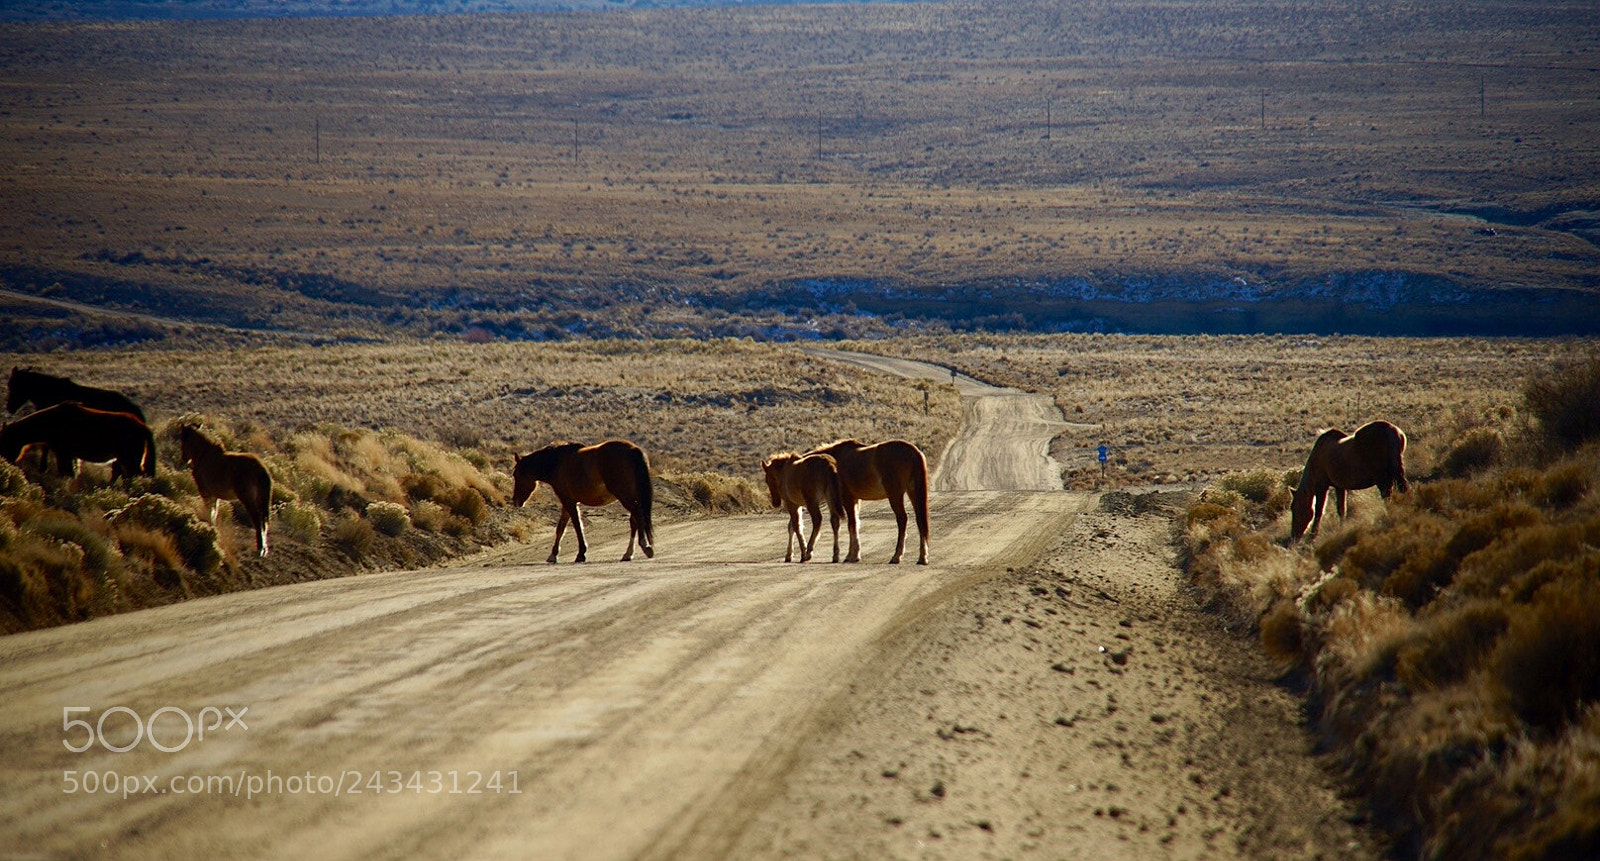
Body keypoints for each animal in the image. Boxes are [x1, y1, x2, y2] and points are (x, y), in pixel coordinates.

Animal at [0, 402, 155, 484]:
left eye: (6, 441)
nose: (6, 463)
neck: (52, 422)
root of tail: (143, 426)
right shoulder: (66, 454)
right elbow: (68, 472)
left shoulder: (63, 453)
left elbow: (66, 472)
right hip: (124, 460)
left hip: (129, 459)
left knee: (133, 476)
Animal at [180, 425, 273, 557]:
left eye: (183, 439)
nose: (184, 459)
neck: (204, 456)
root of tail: (261, 469)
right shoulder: (214, 495)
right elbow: (214, 511)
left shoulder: (205, 492)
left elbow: (209, 511)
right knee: (264, 521)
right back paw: (264, 549)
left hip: (248, 498)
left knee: (257, 519)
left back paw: (260, 549)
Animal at [511, 439, 655, 563]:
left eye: (516, 475)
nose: (516, 501)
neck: (557, 463)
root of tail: (633, 449)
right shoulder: (568, 502)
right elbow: (561, 527)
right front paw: (553, 555)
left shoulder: (568, 501)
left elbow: (576, 526)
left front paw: (581, 554)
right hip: (631, 496)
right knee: (634, 520)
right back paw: (628, 554)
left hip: (625, 496)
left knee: (638, 515)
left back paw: (645, 546)